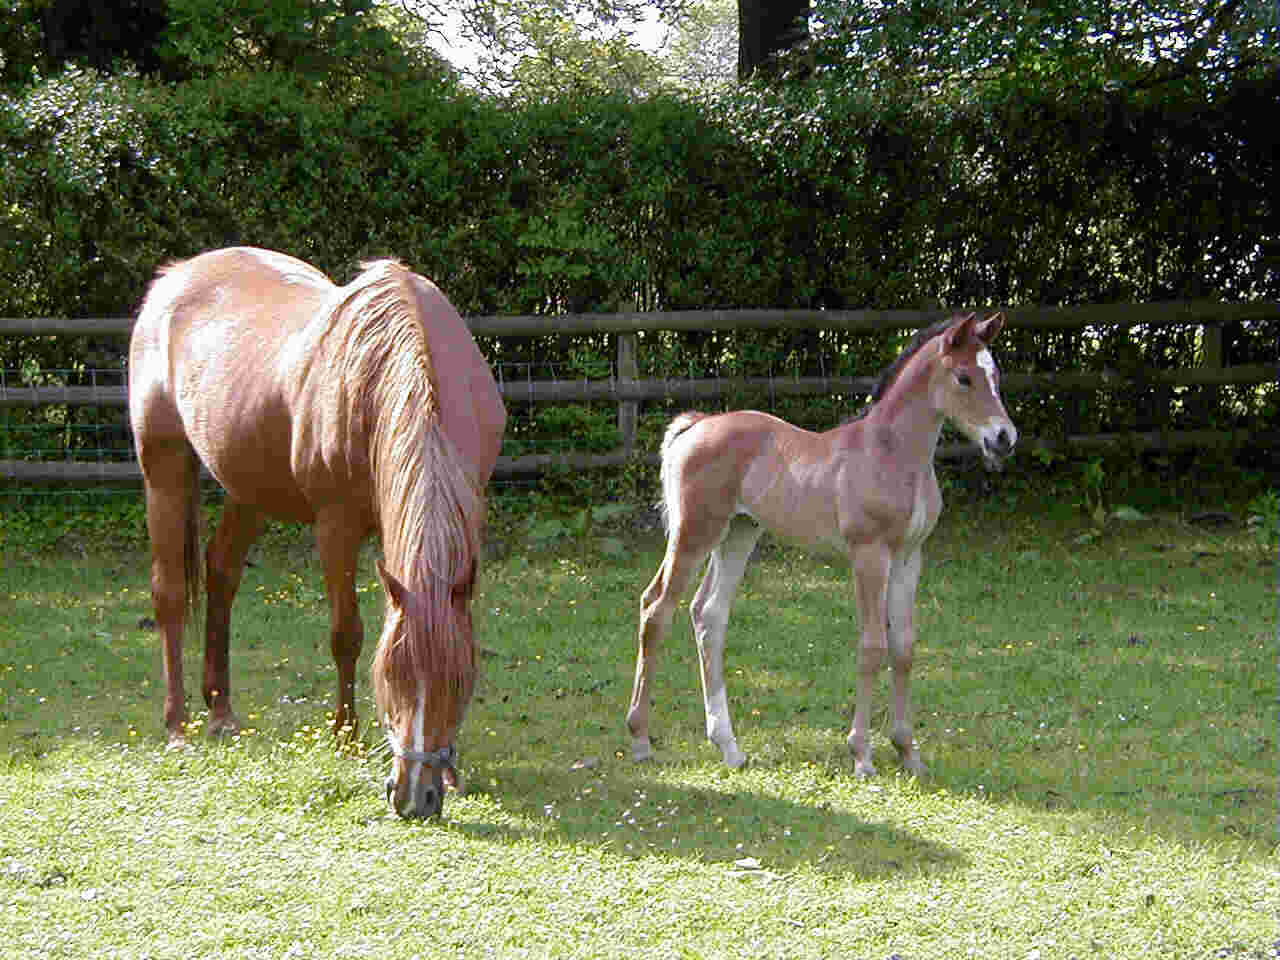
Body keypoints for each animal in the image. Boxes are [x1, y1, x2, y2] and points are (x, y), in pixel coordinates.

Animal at [129, 248, 504, 819]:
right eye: (390, 676)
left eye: (459, 680)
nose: (414, 797)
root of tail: (172, 279)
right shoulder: (337, 526)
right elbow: (345, 634)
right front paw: (346, 739)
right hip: (164, 468)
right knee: (170, 593)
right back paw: (178, 727)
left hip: (249, 488)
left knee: (222, 573)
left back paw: (221, 712)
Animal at [624, 312, 1013, 778]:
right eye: (964, 377)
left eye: (995, 375)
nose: (1004, 438)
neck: (891, 453)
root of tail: (695, 425)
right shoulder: (869, 554)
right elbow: (872, 646)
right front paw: (862, 754)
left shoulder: (909, 557)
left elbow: (903, 647)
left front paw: (907, 751)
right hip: (695, 533)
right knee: (656, 607)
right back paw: (640, 739)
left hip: (739, 532)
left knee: (708, 614)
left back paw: (729, 747)